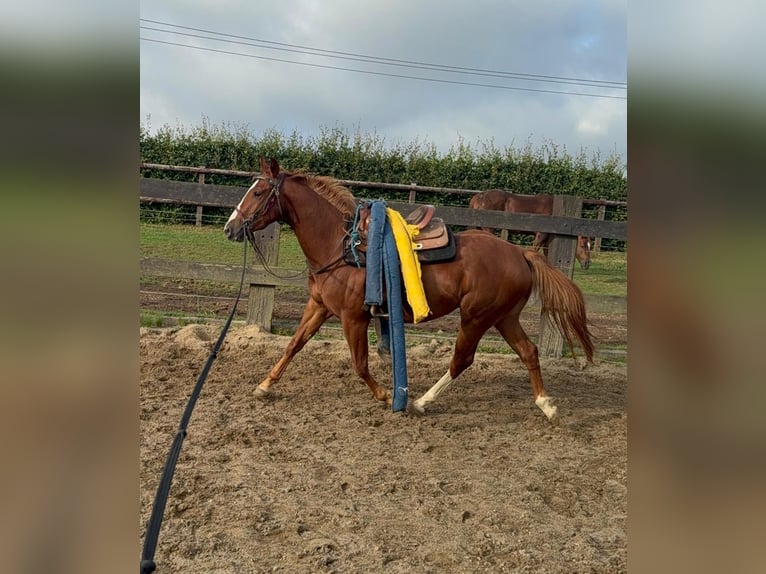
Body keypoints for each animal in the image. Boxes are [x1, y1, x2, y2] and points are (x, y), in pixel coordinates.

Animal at [224, 158, 594, 420]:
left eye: (258, 193)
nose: (230, 228)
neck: (340, 247)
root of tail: (520, 253)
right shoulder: (319, 306)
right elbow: (294, 345)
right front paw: (264, 385)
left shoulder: (353, 317)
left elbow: (360, 364)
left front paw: (387, 395)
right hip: (504, 317)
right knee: (528, 351)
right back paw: (546, 405)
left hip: (476, 317)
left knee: (462, 359)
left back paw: (420, 402)